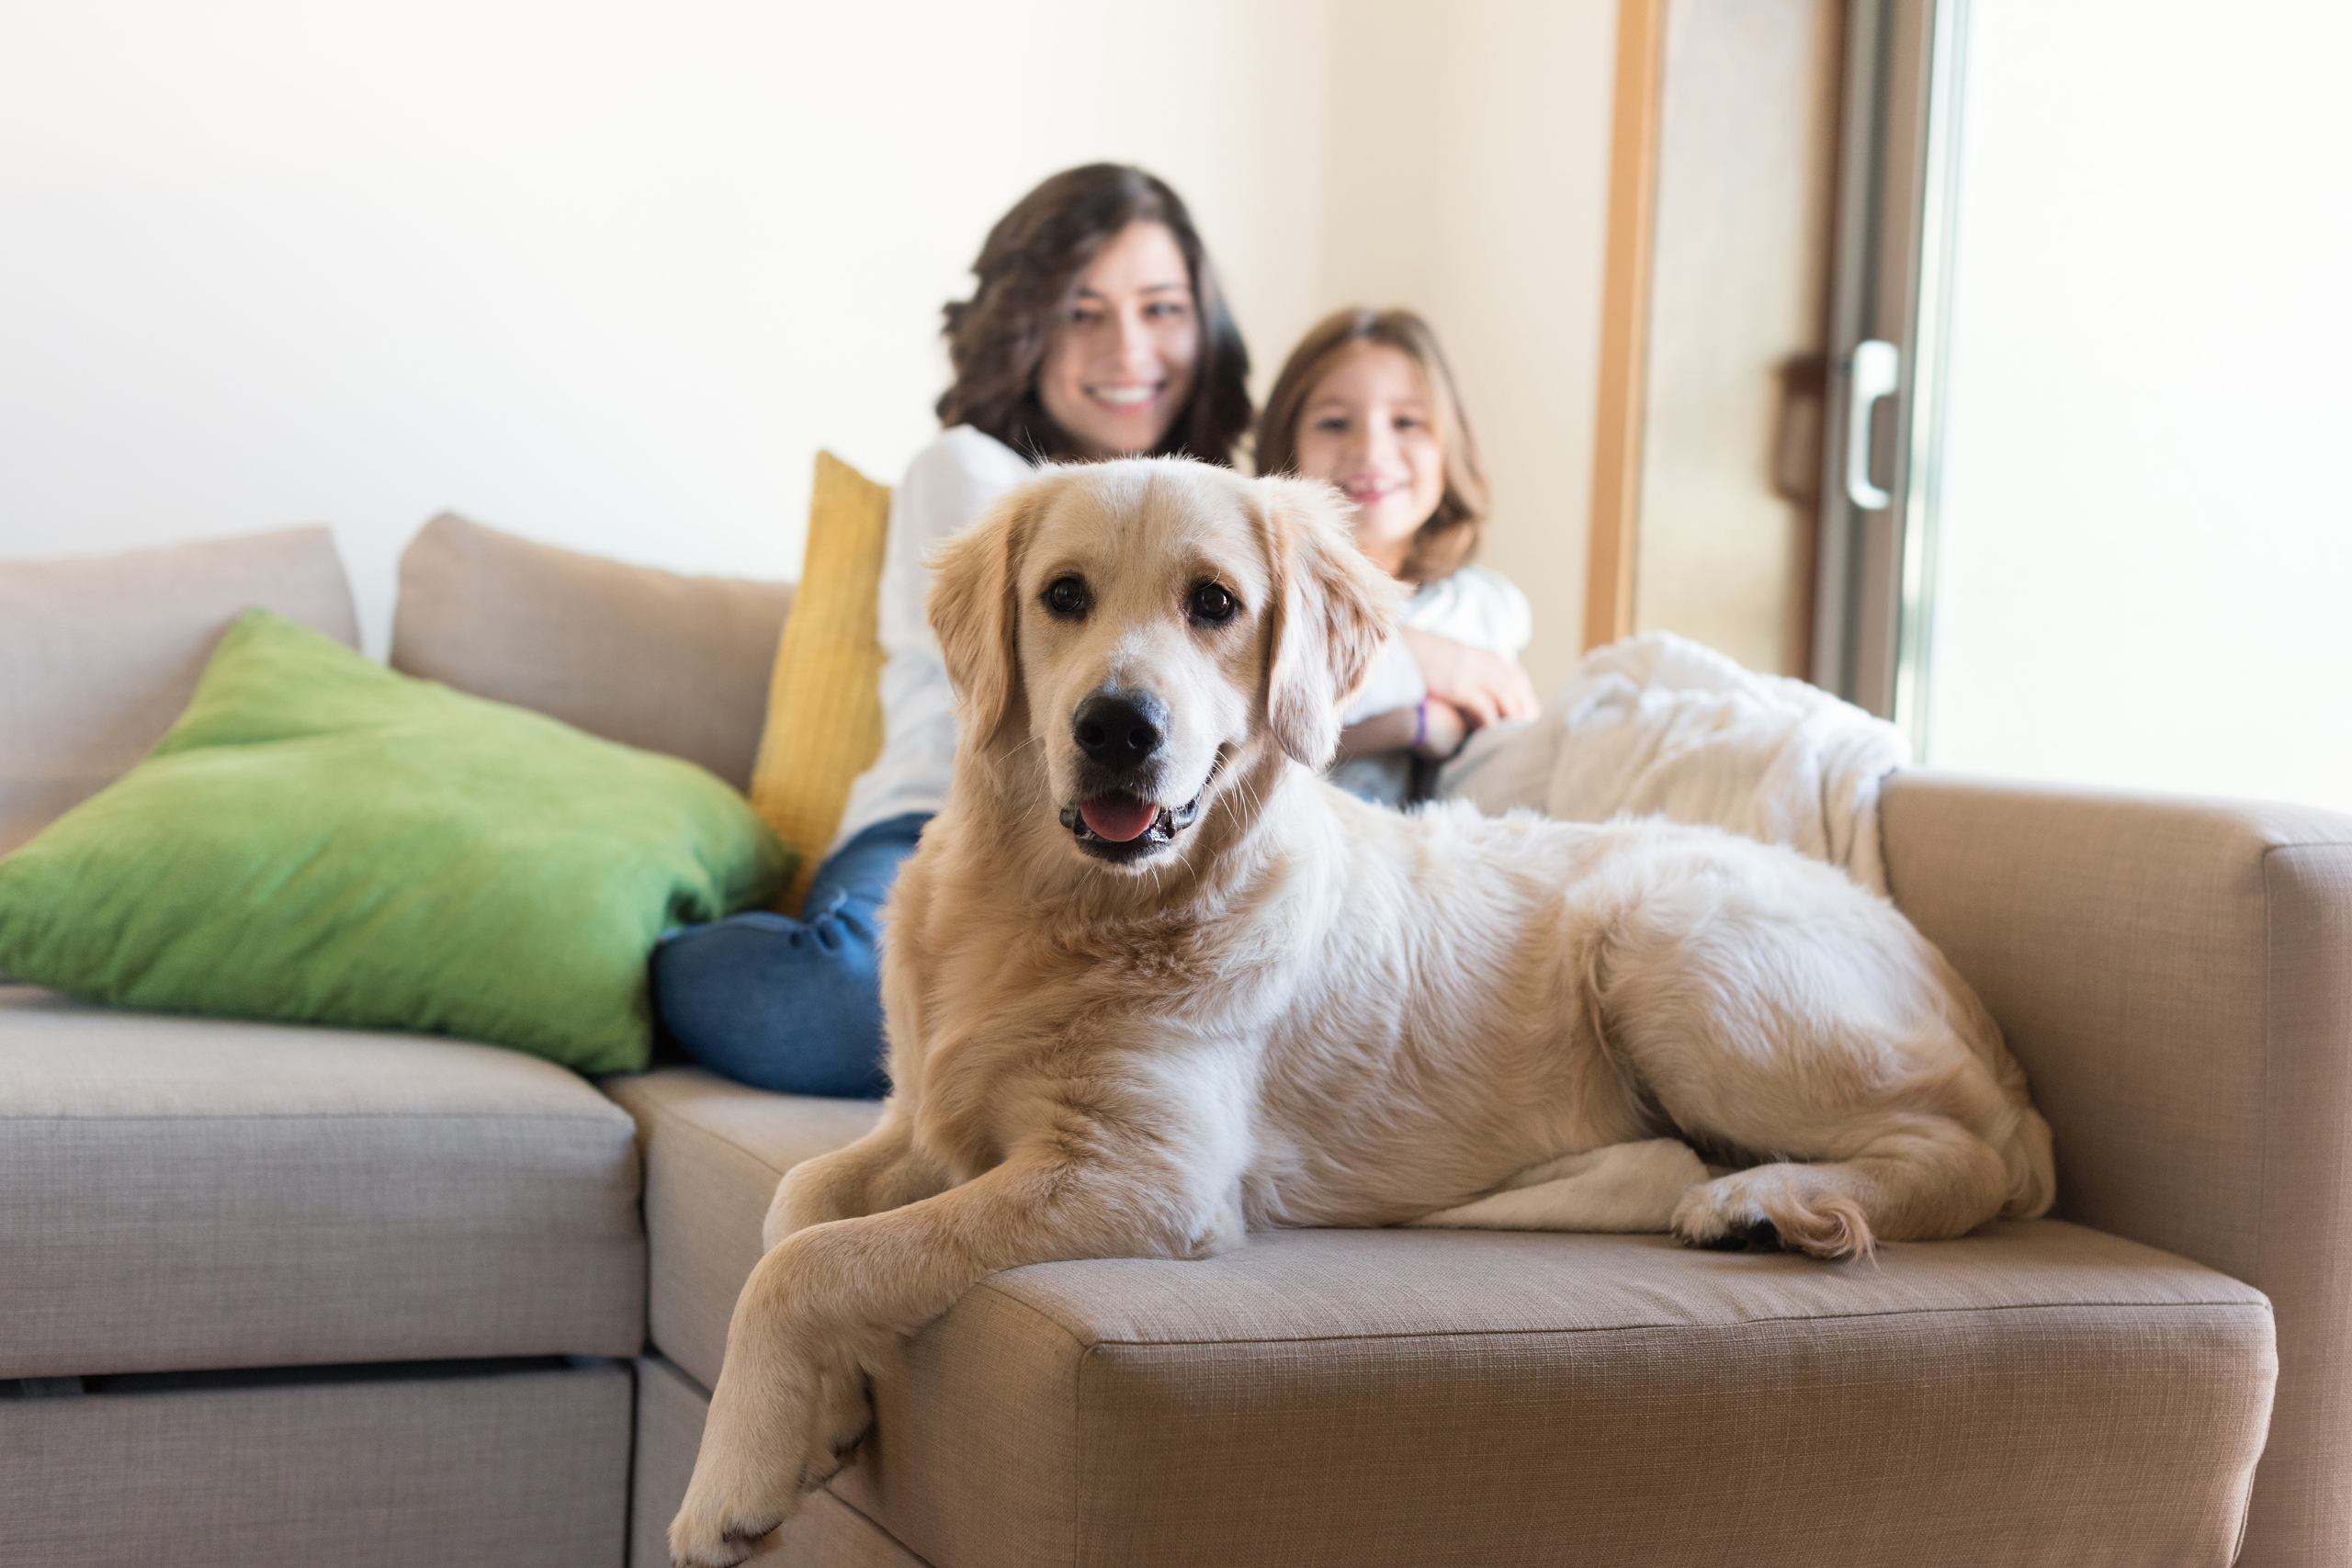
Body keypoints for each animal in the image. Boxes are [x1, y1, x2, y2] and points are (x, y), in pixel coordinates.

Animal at [668, 460, 2060, 1561]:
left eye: (1214, 604)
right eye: (1062, 595)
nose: (1119, 728)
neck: (1059, 907)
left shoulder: (1143, 1172)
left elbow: (812, 1261)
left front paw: (728, 1482)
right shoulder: (929, 1116)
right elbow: (798, 1204)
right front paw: (821, 1412)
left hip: (1667, 943)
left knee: (1956, 1156)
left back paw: (1771, 1199)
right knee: (1667, 1161)